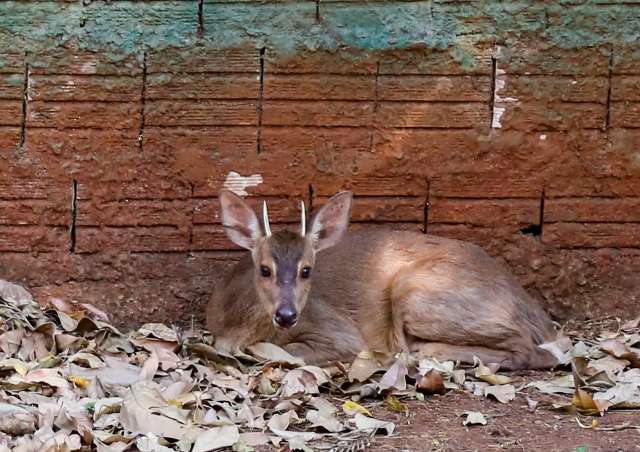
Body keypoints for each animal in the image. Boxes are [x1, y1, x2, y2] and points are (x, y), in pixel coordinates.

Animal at [208, 189, 568, 370]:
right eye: (264, 269)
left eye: (307, 269)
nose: (286, 315)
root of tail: (535, 313)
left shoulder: (339, 332)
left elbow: (277, 352)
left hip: (417, 292)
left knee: (532, 349)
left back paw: (424, 352)